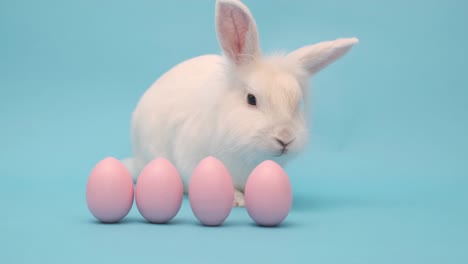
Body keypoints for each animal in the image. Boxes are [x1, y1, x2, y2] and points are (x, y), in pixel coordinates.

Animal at [121, 0, 358, 206]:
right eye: (251, 99)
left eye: (297, 104)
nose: (285, 138)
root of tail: (138, 160)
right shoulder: (193, 158)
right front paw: (237, 200)